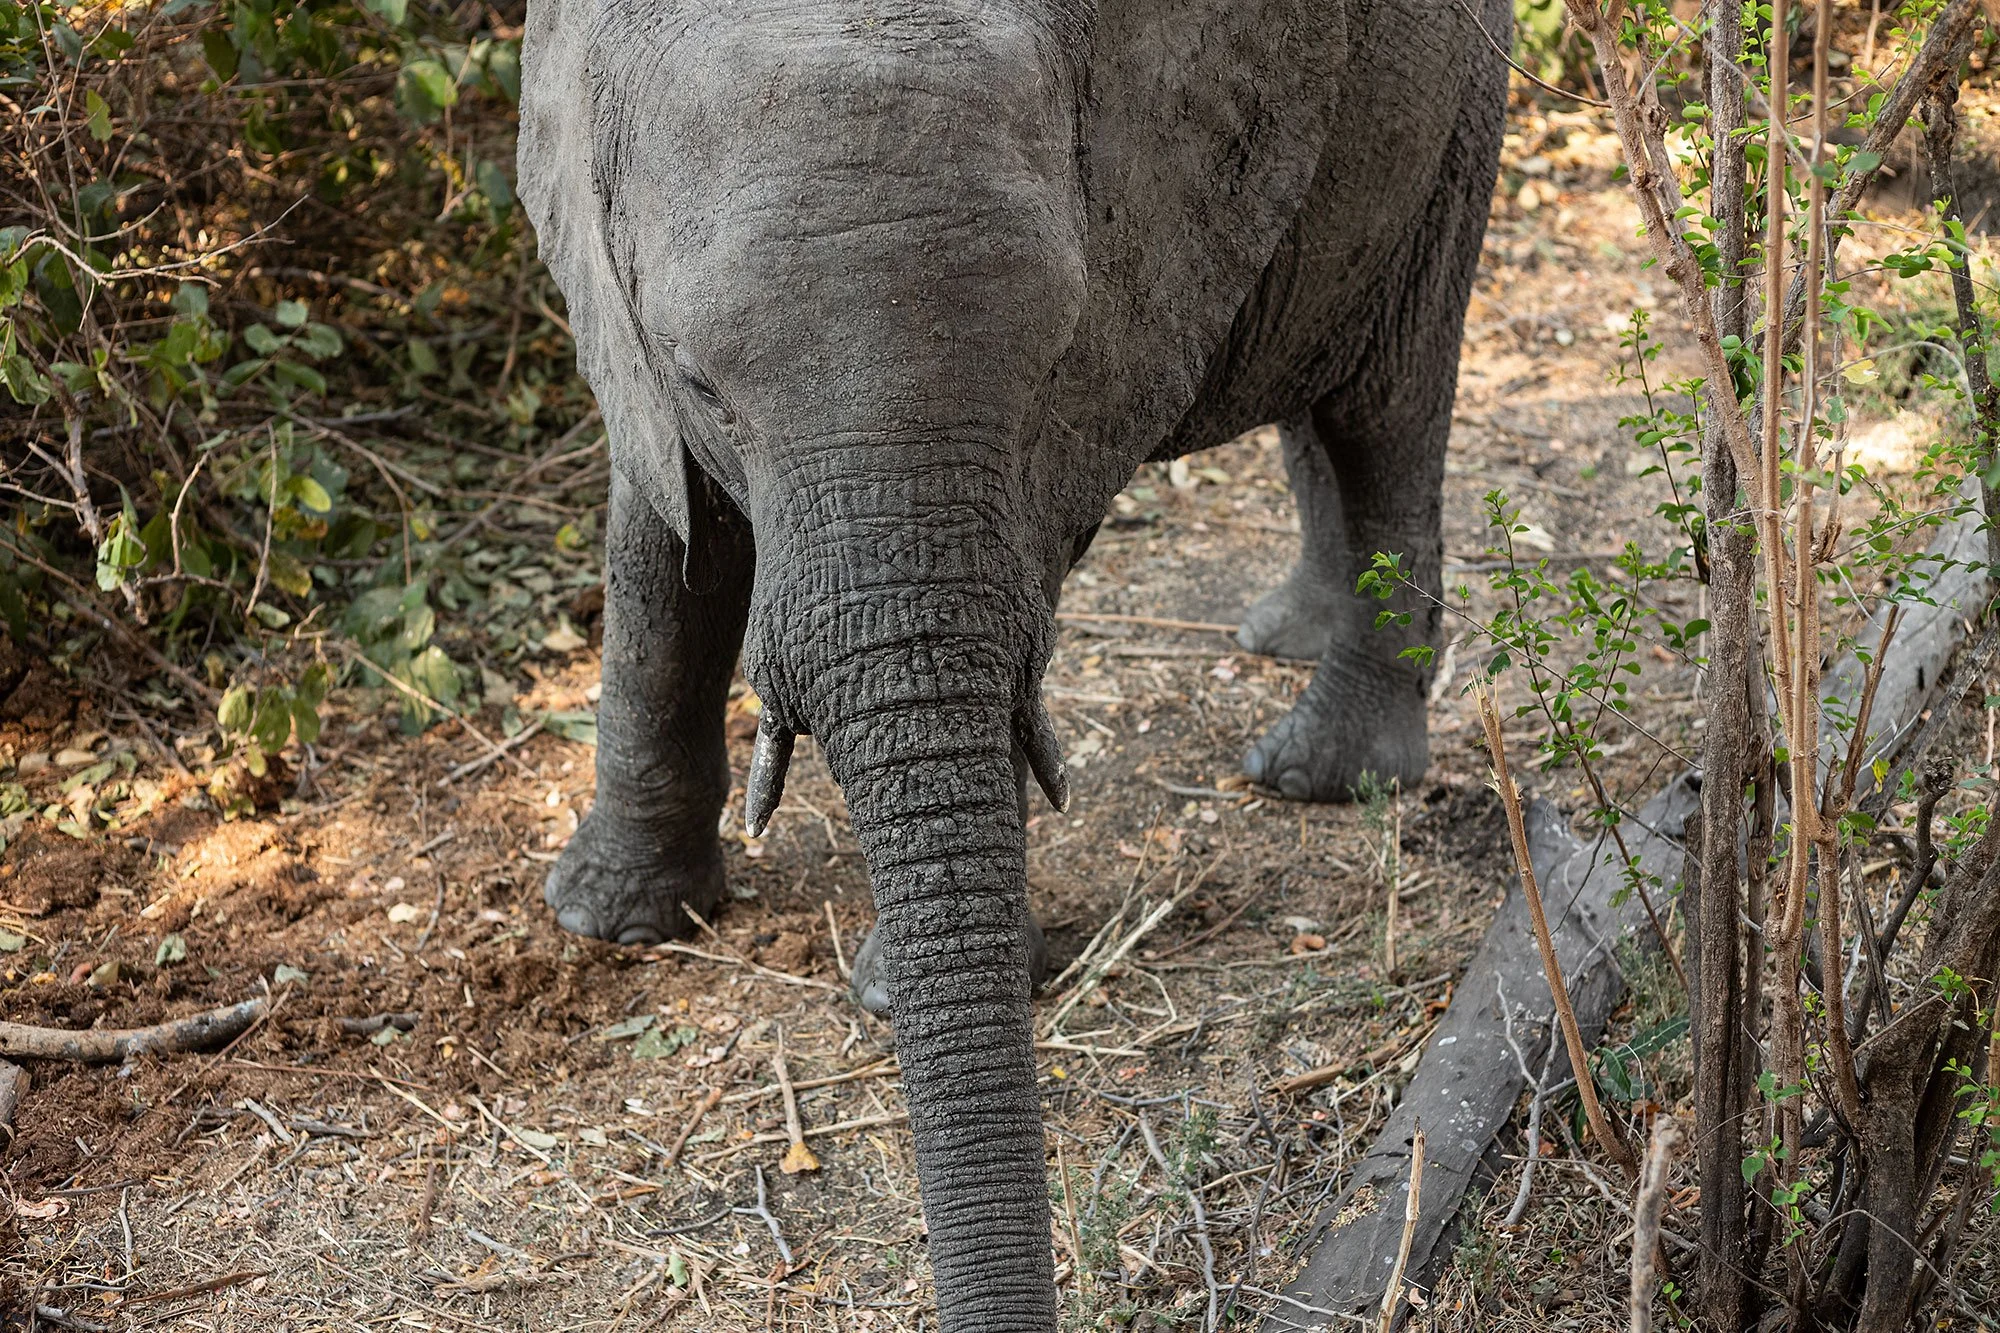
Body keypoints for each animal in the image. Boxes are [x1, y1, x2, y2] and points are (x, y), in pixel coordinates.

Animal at [517, 0, 1506, 1327]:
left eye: (1050, 366)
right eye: (701, 384)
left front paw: (891, 990)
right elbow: (664, 537)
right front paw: (611, 923)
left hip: (1452, 124)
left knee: (1382, 408)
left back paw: (1322, 774)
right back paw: (1279, 633)